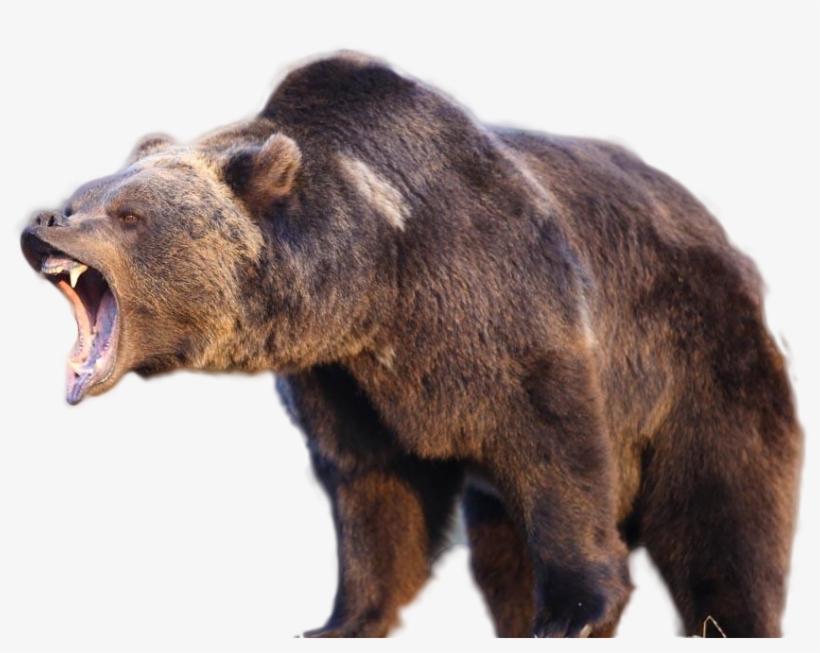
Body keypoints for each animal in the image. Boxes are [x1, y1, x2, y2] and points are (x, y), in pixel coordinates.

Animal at [21, 52, 802, 638]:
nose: (43, 220)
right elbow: (373, 489)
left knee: (723, 510)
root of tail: (716, 229)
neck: (376, 280)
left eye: (127, 214)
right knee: (500, 554)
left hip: (698, 356)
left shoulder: (504, 306)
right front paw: (339, 620)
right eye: (83, 194)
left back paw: (730, 619)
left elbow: (559, 451)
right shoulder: (343, 379)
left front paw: (575, 610)